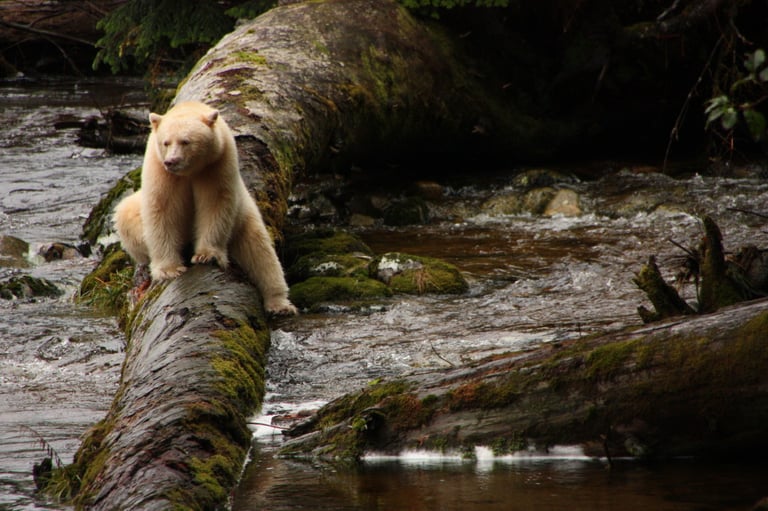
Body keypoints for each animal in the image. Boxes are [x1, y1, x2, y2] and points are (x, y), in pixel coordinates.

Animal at [114, 100, 296, 316]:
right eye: (166, 142)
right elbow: (162, 209)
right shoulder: (161, 171)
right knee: (125, 216)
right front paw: (170, 270)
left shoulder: (217, 164)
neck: (190, 171)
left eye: (185, 141)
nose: (171, 161)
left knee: (261, 252)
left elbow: (215, 203)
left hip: (245, 214)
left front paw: (205, 255)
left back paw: (280, 304)